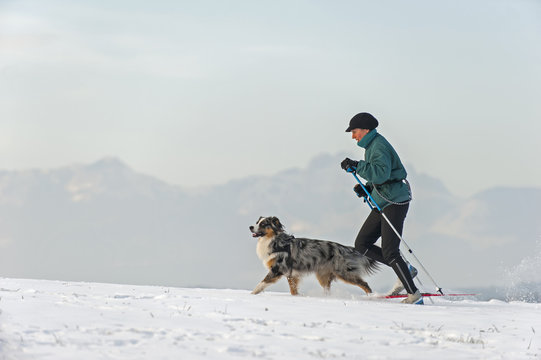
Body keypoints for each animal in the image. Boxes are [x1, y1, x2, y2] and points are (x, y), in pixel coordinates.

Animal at [248, 217, 378, 296]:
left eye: (263, 224)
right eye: (257, 222)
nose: (250, 227)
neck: (274, 240)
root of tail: (346, 248)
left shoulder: (277, 269)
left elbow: (261, 283)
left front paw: (251, 295)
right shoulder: (292, 275)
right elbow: (293, 290)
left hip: (344, 272)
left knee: (364, 284)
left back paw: (372, 297)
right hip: (323, 276)